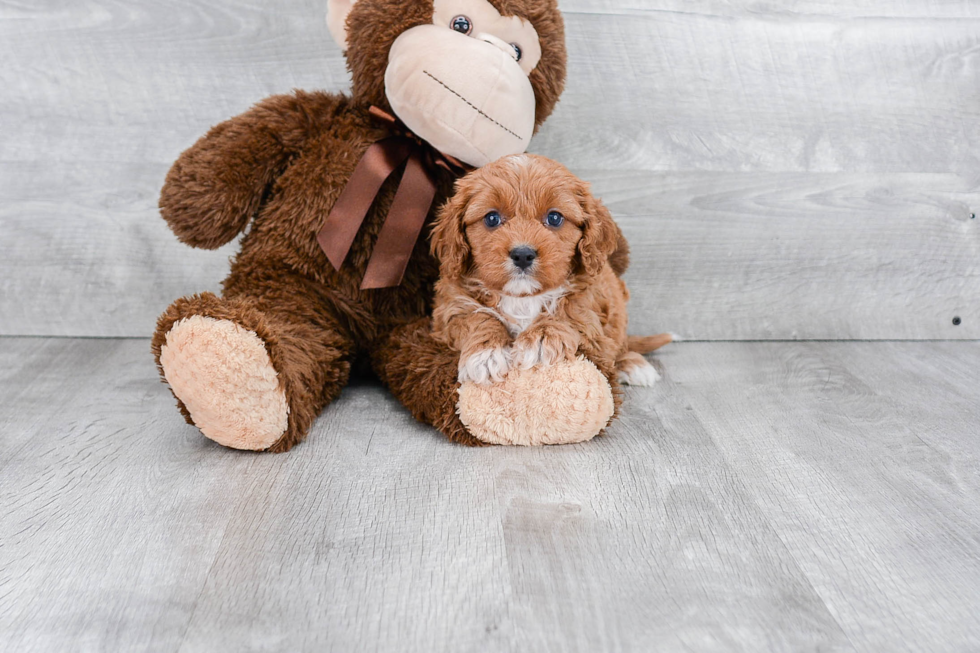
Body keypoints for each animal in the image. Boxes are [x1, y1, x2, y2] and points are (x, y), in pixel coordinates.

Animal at [432, 153, 668, 388]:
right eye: (492, 218)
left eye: (554, 218)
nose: (523, 255)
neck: (522, 298)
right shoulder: (449, 307)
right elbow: (474, 317)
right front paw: (486, 354)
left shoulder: (591, 296)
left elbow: (569, 309)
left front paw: (540, 338)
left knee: (619, 344)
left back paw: (632, 364)